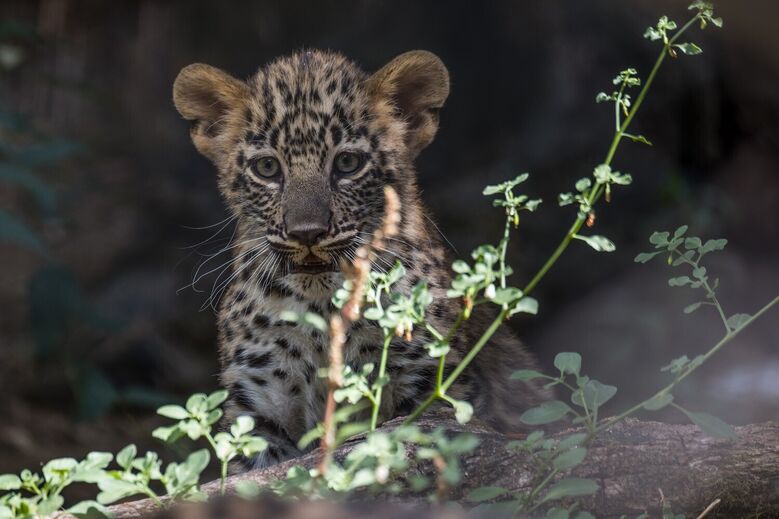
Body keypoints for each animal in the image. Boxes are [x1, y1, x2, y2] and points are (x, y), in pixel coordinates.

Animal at [172, 49, 548, 469]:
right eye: (267, 168)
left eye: (348, 164)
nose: (307, 233)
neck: (321, 311)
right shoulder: (260, 407)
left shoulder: (426, 381)